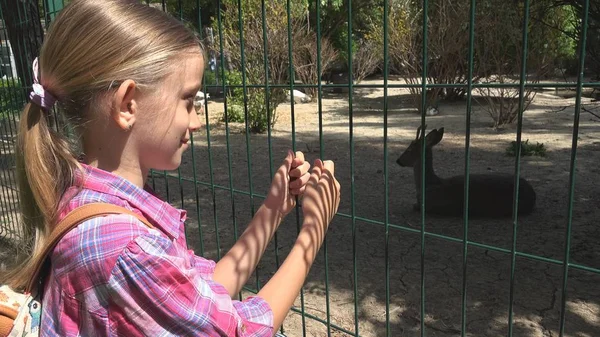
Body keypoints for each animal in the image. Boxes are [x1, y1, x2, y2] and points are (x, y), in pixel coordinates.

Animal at [396, 124, 536, 217]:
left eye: (409, 150)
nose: (398, 160)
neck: (428, 184)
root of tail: (533, 194)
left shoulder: (429, 205)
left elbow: (414, 206)